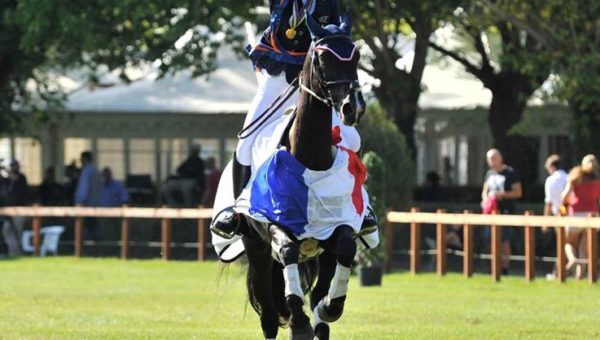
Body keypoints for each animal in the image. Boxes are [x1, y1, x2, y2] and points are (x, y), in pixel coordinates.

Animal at [238, 15, 368, 340]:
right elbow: (288, 254)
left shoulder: (337, 227)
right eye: (323, 57)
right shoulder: (275, 227)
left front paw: (329, 307)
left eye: (356, 56)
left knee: (317, 300)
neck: (311, 159)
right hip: (257, 252)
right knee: (269, 317)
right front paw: (299, 323)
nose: (354, 107)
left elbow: (346, 249)